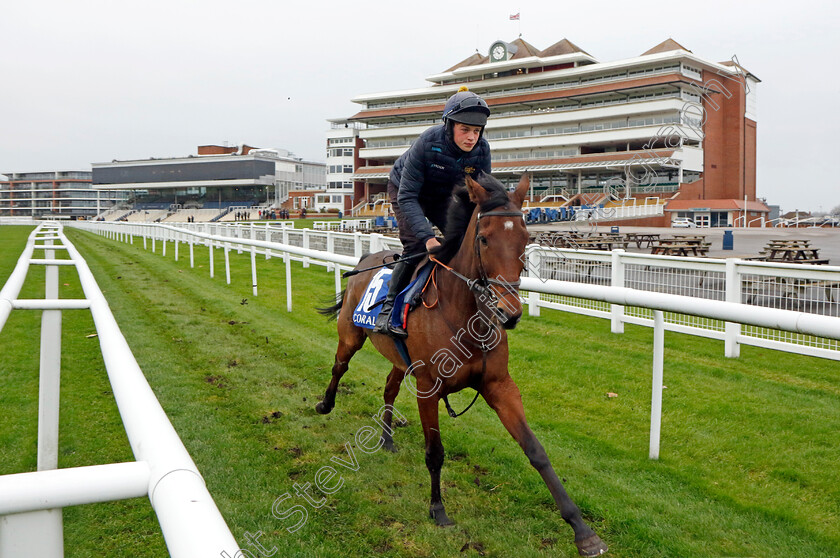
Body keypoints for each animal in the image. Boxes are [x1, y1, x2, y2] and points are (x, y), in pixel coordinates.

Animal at [318, 173, 608, 556]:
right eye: (484, 238)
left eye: (525, 238)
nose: (509, 313)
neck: (463, 314)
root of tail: (368, 256)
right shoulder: (428, 387)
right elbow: (435, 452)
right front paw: (438, 509)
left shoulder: (499, 384)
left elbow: (536, 450)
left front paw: (582, 530)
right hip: (351, 337)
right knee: (339, 367)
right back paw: (325, 404)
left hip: (400, 360)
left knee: (389, 389)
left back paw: (387, 439)